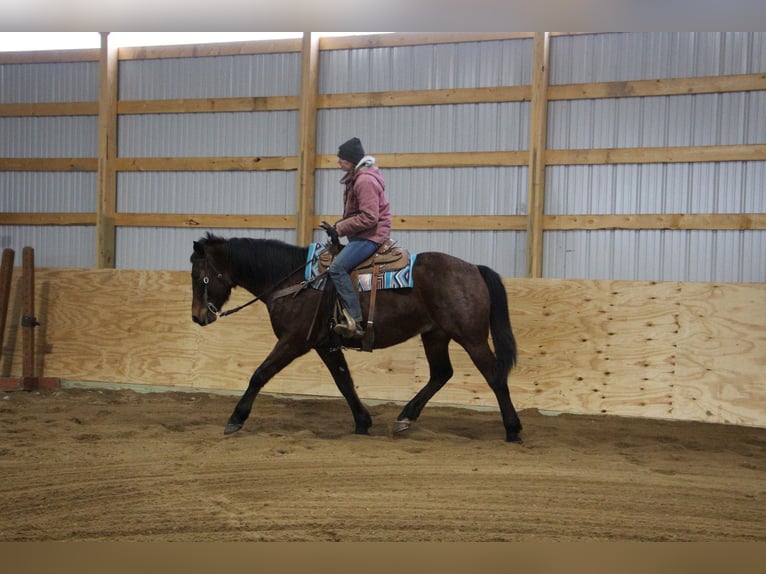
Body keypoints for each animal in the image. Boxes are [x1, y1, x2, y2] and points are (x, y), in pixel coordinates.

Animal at [191, 234, 524, 446]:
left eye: (199, 276)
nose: (197, 317)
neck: (296, 281)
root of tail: (474, 269)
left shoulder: (293, 341)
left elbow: (259, 375)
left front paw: (235, 418)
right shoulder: (324, 345)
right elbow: (344, 381)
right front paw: (362, 421)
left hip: (472, 338)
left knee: (494, 377)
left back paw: (513, 430)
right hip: (435, 335)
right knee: (441, 373)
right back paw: (405, 417)